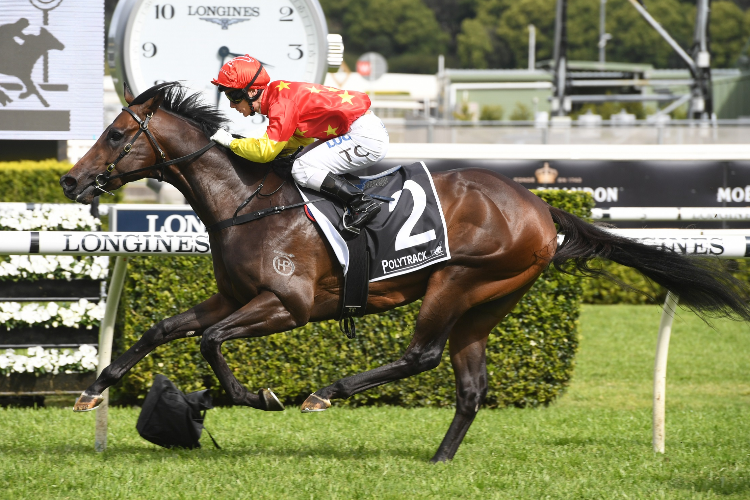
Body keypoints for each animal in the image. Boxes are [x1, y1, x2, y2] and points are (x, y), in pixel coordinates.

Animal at [60, 82, 750, 460]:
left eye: (117, 133)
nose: (70, 180)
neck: (245, 202)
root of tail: (538, 205)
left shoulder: (288, 304)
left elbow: (208, 341)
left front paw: (253, 396)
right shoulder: (231, 295)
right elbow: (163, 328)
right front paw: (96, 387)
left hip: (458, 281)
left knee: (422, 355)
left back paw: (326, 392)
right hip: (489, 302)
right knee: (470, 385)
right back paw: (439, 460)